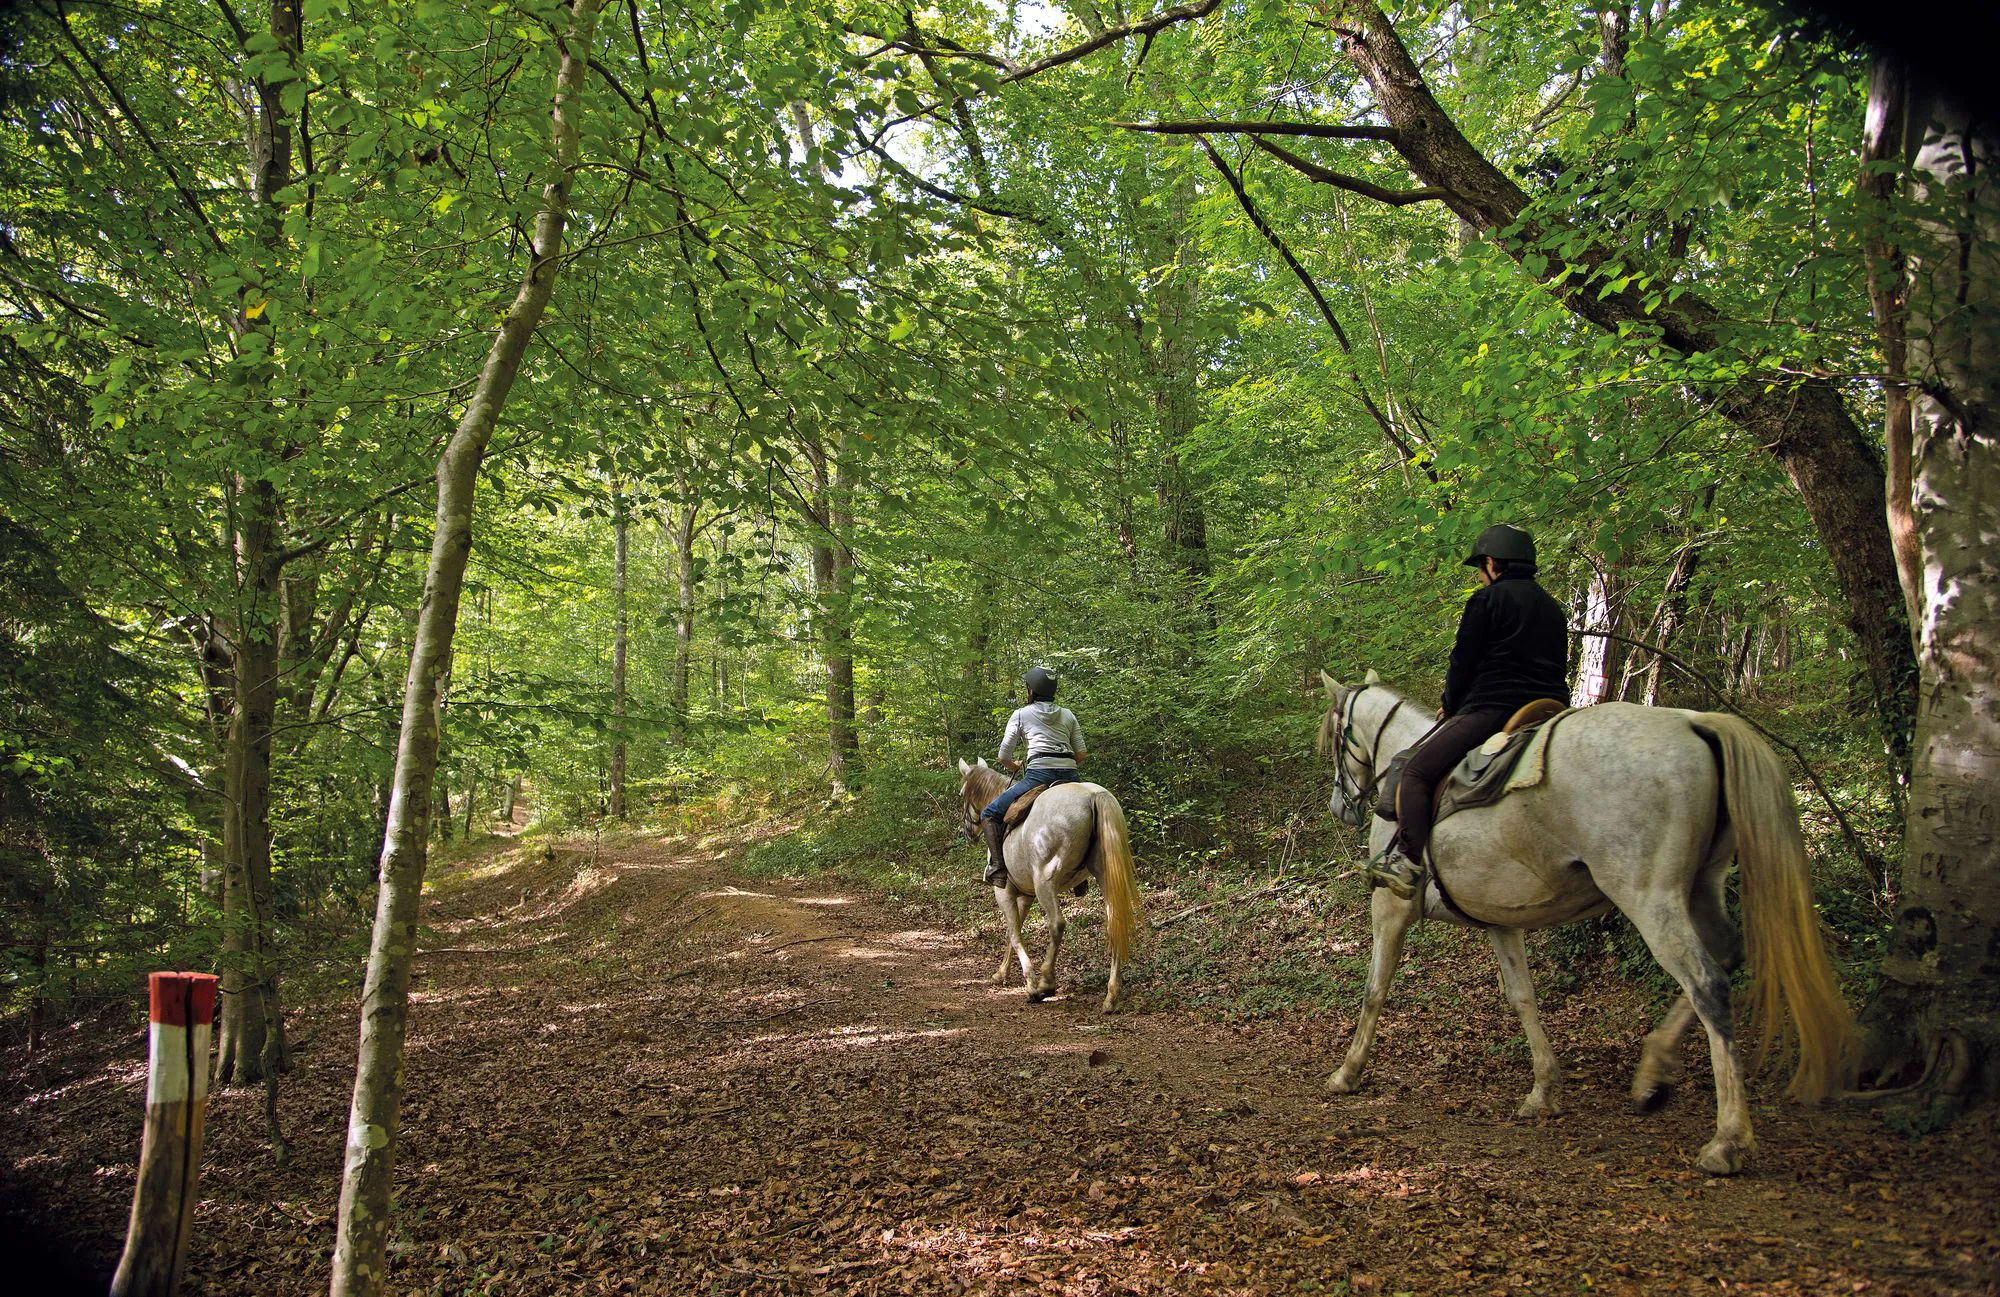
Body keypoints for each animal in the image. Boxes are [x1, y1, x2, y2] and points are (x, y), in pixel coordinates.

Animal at [952, 760, 1144, 1012]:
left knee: (1056, 924)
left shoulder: (1004, 890)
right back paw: (1111, 995)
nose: (966, 833)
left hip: (1045, 882)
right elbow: (1012, 932)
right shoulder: (1025, 895)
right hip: (1105, 877)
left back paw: (1045, 984)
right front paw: (1001, 973)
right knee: (1114, 924)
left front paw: (1030, 982)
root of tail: (1094, 796)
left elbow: (1014, 933)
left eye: (962, 793)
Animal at [1320, 668, 1848, 1176]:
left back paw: (1727, 1141)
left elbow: (1374, 989)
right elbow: (1523, 999)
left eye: (1335, 742)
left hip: (1650, 899)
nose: (1339, 806)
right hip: (1703, 887)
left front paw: (1348, 1072)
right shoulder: (1501, 922)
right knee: (1728, 957)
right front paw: (1543, 1091)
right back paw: (1653, 1074)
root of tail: (1693, 722)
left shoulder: (1390, 907)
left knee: (1708, 984)